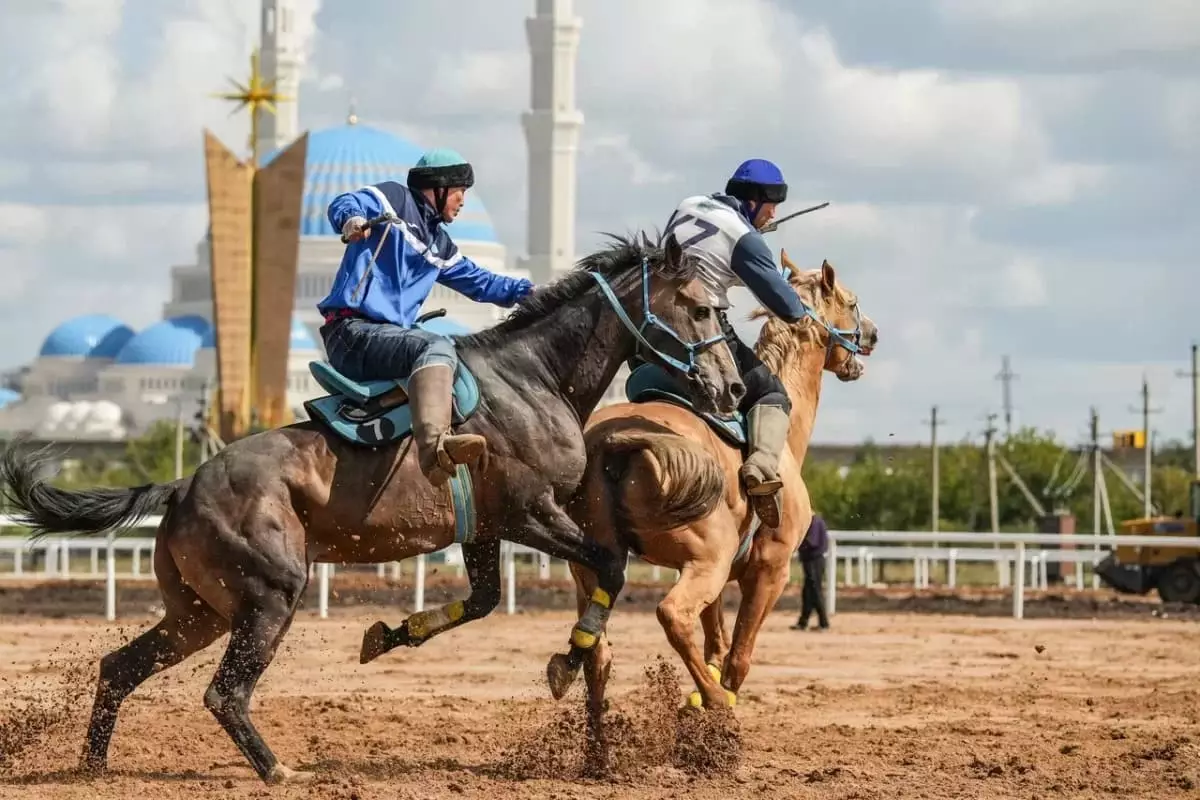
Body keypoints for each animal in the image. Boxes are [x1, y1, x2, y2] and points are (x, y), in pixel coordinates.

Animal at [0, 235, 744, 786]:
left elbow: (484, 600)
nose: (733, 387)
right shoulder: (530, 514)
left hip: (200, 613)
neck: (533, 381)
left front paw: (389, 635)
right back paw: (277, 770)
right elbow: (610, 567)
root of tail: (183, 485)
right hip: (269, 597)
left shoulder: (485, 529)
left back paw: (93, 766)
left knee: (118, 669)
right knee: (224, 693)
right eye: (700, 308)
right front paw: (569, 658)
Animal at [549, 255, 878, 724]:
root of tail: (614, 439)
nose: (872, 333)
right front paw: (715, 704)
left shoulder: (722, 584)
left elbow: (716, 644)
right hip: (708, 561)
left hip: (595, 565)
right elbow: (738, 654)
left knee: (597, 650)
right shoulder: (770, 569)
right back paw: (717, 704)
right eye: (851, 302)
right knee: (673, 615)